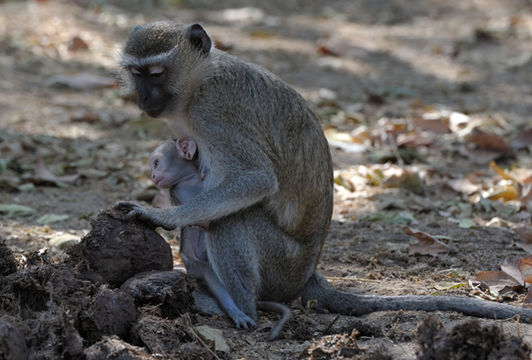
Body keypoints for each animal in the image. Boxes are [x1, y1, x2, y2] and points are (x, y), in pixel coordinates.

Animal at [149, 138, 290, 340]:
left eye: (156, 163)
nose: (152, 176)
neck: (190, 178)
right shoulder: (178, 190)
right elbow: (201, 218)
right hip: (196, 266)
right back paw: (237, 310)